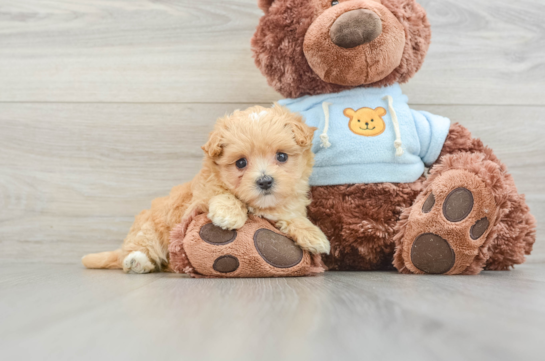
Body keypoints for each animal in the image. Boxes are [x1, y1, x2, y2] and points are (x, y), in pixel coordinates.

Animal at [82, 104, 330, 272]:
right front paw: (229, 214)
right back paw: (136, 261)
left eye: (281, 156)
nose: (265, 181)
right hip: (149, 231)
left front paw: (313, 235)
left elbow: (290, 215)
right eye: (241, 163)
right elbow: (223, 193)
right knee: (140, 250)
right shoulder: (198, 199)